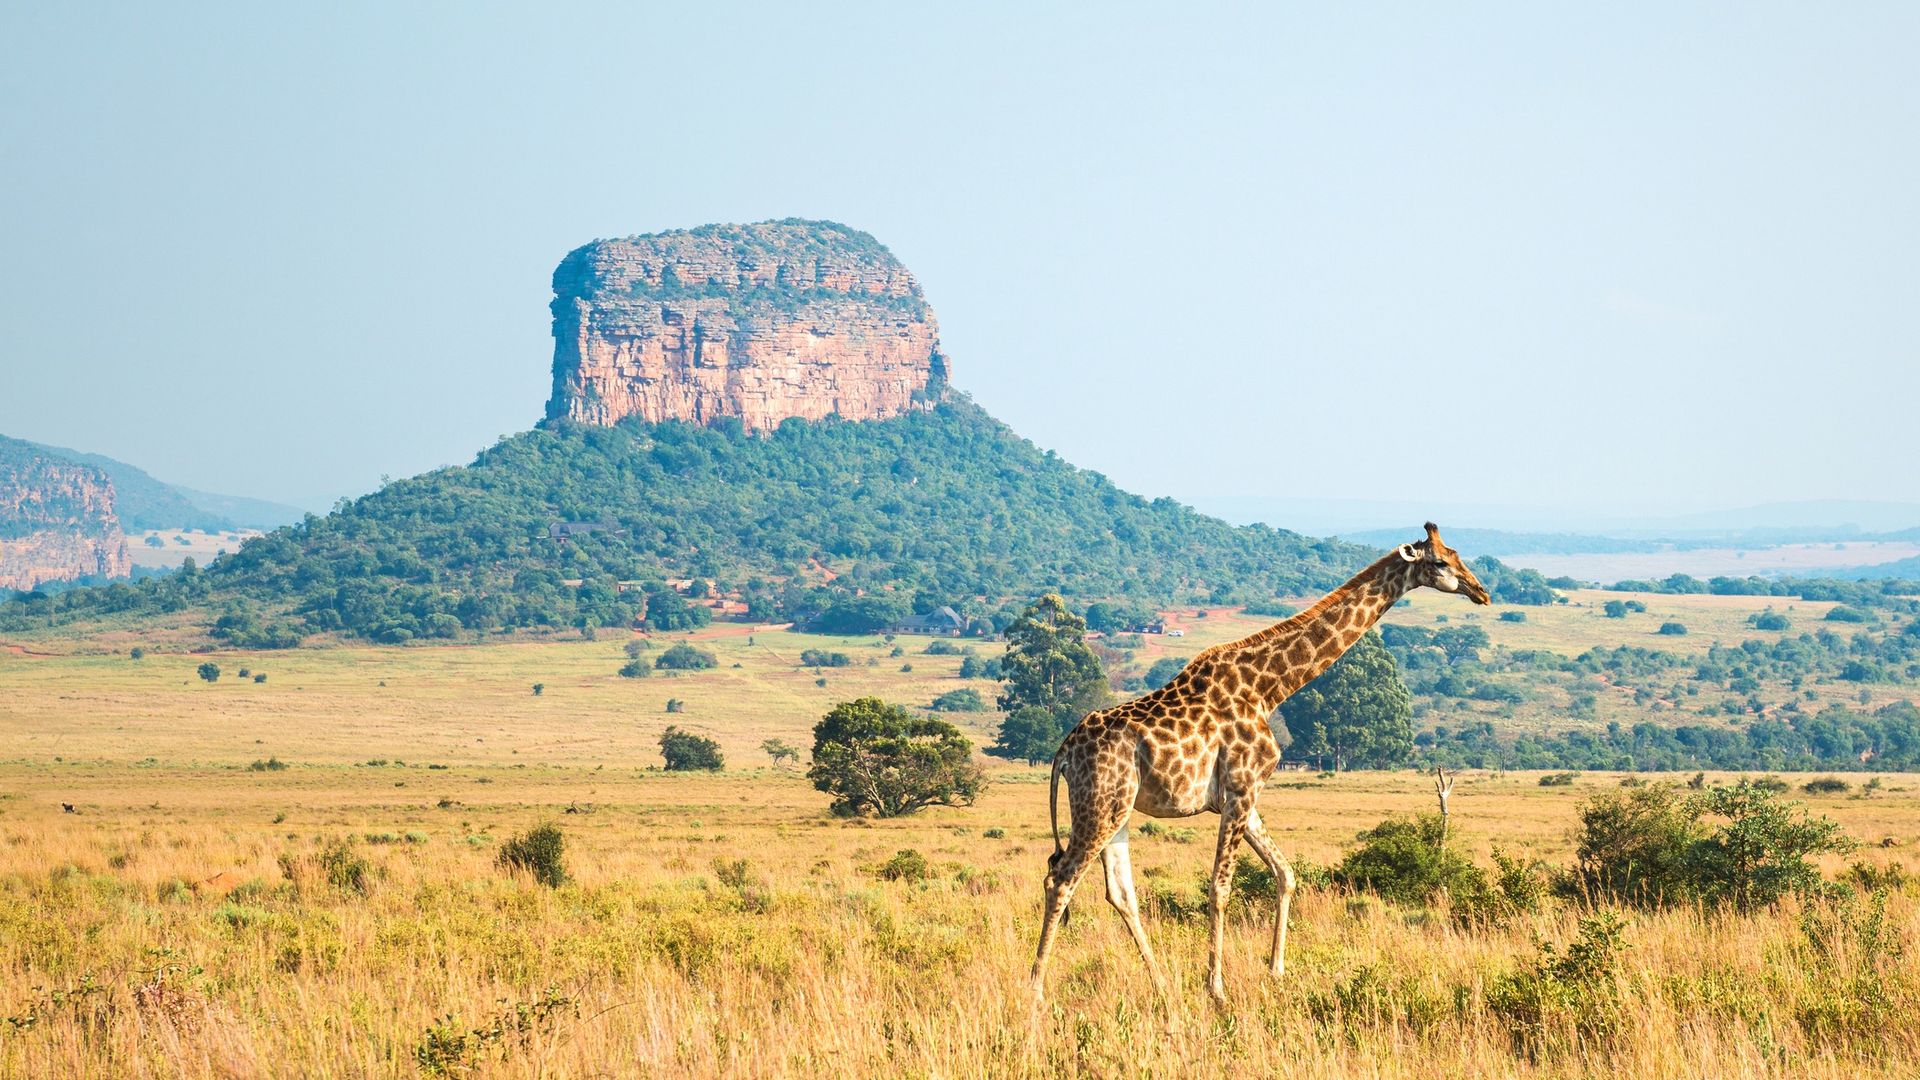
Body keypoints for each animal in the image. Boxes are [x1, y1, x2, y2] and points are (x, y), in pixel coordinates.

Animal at [1028, 522, 1490, 1004]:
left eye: (1457, 554)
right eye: (1439, 561)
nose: (1481, 591)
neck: (1270, 688)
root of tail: (1063, 752)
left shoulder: (1244, 796)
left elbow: (1285, 873)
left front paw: (1276, 970)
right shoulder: (1241, 789)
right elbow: (1220, 887)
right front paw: (1216, 988)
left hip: (1118, 809)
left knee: (1119, 892)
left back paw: (1162, 985)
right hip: (1100, 805)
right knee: (1061, 879)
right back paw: (1036, 990)